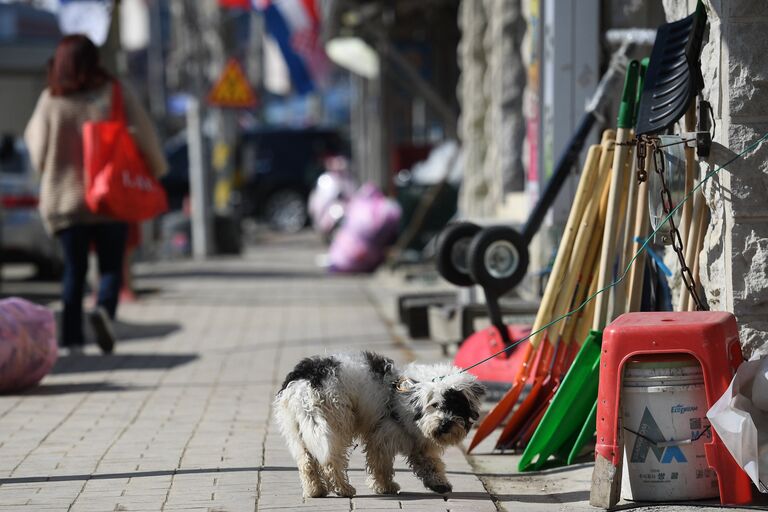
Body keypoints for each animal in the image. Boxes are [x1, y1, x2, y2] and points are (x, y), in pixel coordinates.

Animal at [272, 350, 484, 498]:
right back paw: (343, 488)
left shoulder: (414, 439)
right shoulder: (383, 435)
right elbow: (381, 464)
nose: (445, 425)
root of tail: (305, 381)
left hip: (299, 429)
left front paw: (438, 483)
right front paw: (385, 487)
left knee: (306, 461)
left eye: (457, 406)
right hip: (334, 424)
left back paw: (315, 490)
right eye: (435, 405)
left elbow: (428, 462)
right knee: (331, 461)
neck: (409, 397)